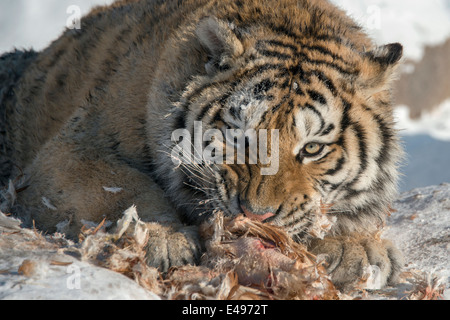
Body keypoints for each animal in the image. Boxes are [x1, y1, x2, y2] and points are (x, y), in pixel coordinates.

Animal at [0, 0, 404, 290]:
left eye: (312, 149)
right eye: (242, 135)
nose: (256, 215)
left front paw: (355, 247)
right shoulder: (76, 147)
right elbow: (121, 187)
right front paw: (161, 237)